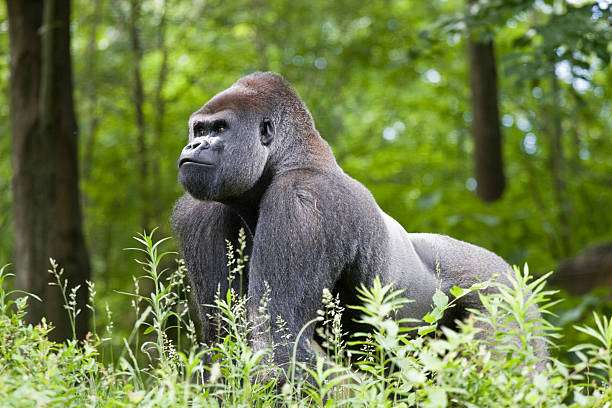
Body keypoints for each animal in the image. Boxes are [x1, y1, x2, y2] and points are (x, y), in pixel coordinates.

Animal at [172, 72, 544, 370]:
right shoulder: (201, 212)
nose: (195, 144)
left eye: (220, 128)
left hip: (501, 291)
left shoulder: (303, 202)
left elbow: (279, 343)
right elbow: (224, 340)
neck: (289, 158)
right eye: (199, 128)